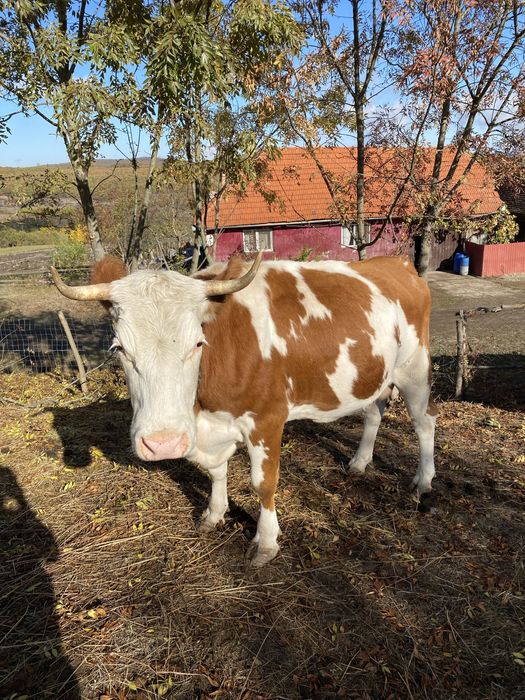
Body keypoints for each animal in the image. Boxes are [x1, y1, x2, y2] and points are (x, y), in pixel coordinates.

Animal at [51, 254, 437, 566]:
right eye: (118, 349)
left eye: (198, 343)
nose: (163, 443)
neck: (203, 409)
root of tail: (398, 263)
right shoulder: (210, 427)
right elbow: (216, 472)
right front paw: (214, 513)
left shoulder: (267, 419)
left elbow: (263, 484)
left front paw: (265, 543)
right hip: (377, 373)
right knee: (374, 412)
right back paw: (359, 462)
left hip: (414, 368)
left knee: (424, 423)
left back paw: (423, 481)